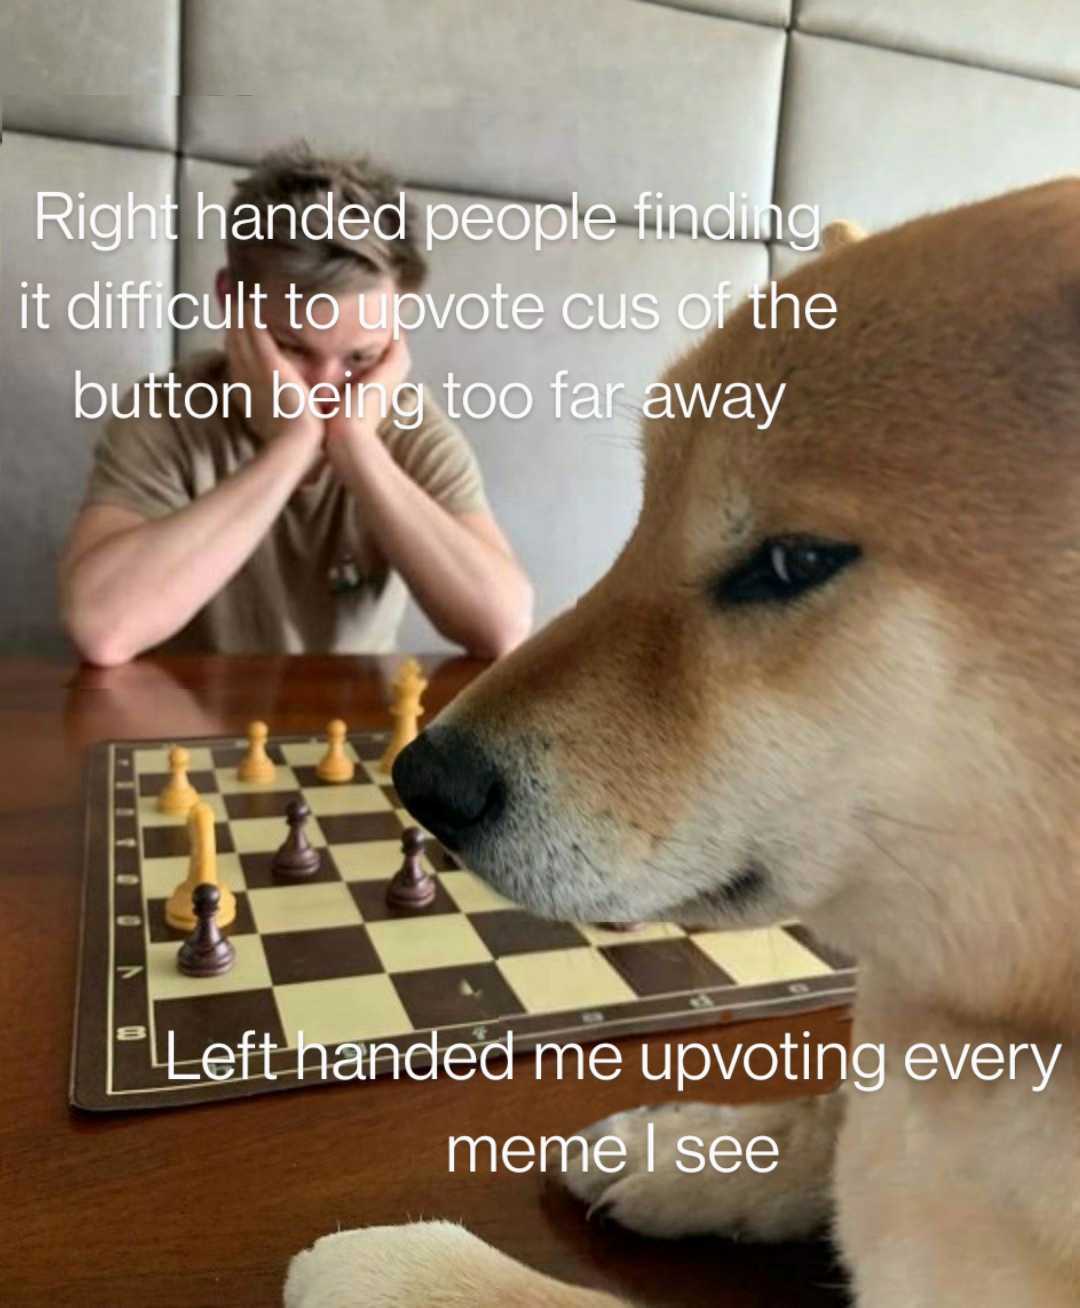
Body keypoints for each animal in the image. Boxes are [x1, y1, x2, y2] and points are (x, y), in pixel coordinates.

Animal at [283, 181, 1077, 1308]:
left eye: (793, 562)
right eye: (645, 511)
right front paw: (693, 1149)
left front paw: (399, 1264)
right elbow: (833, 1114)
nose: (424, 781)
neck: (1000, 1030)